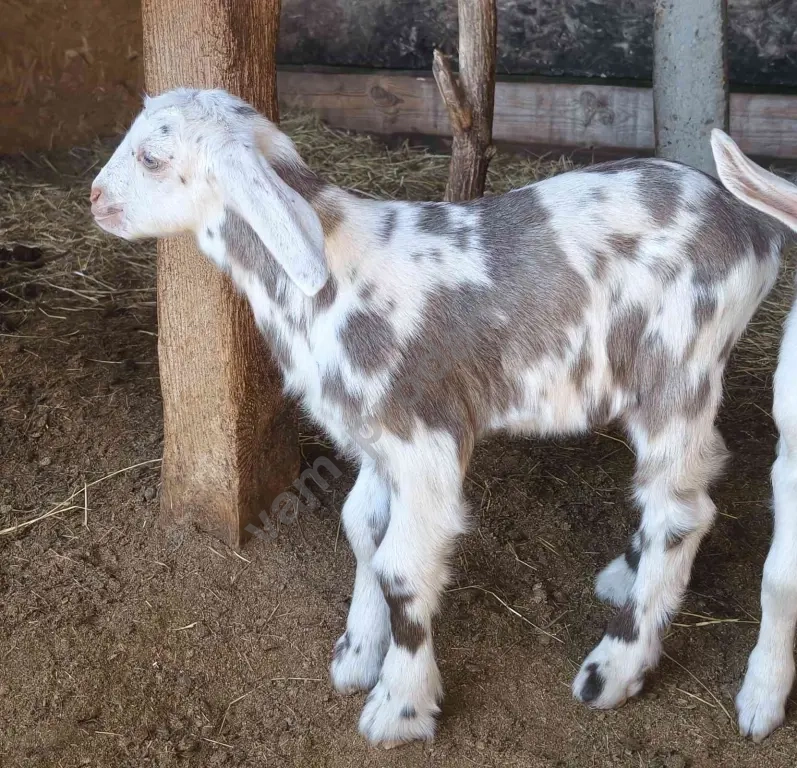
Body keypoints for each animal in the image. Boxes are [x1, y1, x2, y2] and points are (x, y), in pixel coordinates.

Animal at [90, 89, 790, 746]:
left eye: (152, 157)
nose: (95, 199)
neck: (332, 271)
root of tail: (754, 233)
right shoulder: (376, 437)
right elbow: (362, 530)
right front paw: (358, 654)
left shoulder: (423, 436)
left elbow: (402, 569)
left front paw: (399, 707)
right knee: (698, 471)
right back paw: (626, 572)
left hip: (675, 366)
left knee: (682, 511)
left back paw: (615, 668)